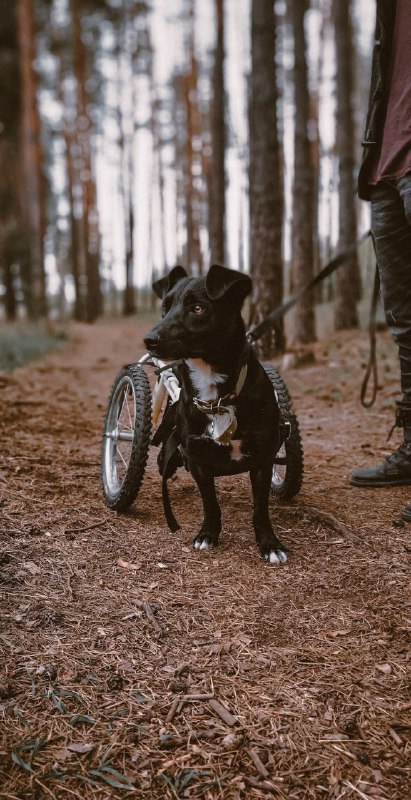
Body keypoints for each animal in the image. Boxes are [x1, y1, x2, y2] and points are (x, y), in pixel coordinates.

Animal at [145, 262, 290, 564]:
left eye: (198, 308)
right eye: (165, 307)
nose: (149, 340)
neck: (217, 396)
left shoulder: (263, 459)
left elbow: (260, 509)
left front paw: (270, 544)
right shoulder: (197, 460)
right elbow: (210, 503)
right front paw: (208, 534)